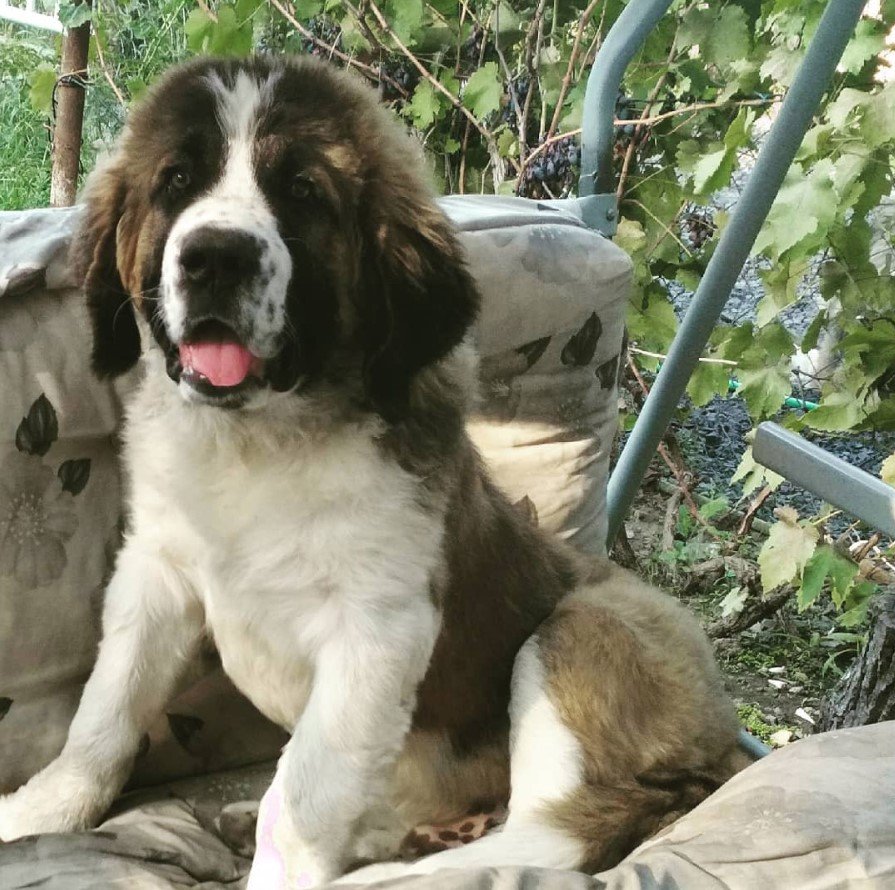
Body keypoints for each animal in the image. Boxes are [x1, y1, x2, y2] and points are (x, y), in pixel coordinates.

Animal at [0, 55, 748, 880]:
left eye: (302, 192)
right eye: (176, 181)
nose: (216, 257)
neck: (258, 440)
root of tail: (720, 755)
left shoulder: (377, 631)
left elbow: (303, 795)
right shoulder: (157, 574)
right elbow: (105, 711)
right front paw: (39, 813)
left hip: (583, 632)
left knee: (557, 828)